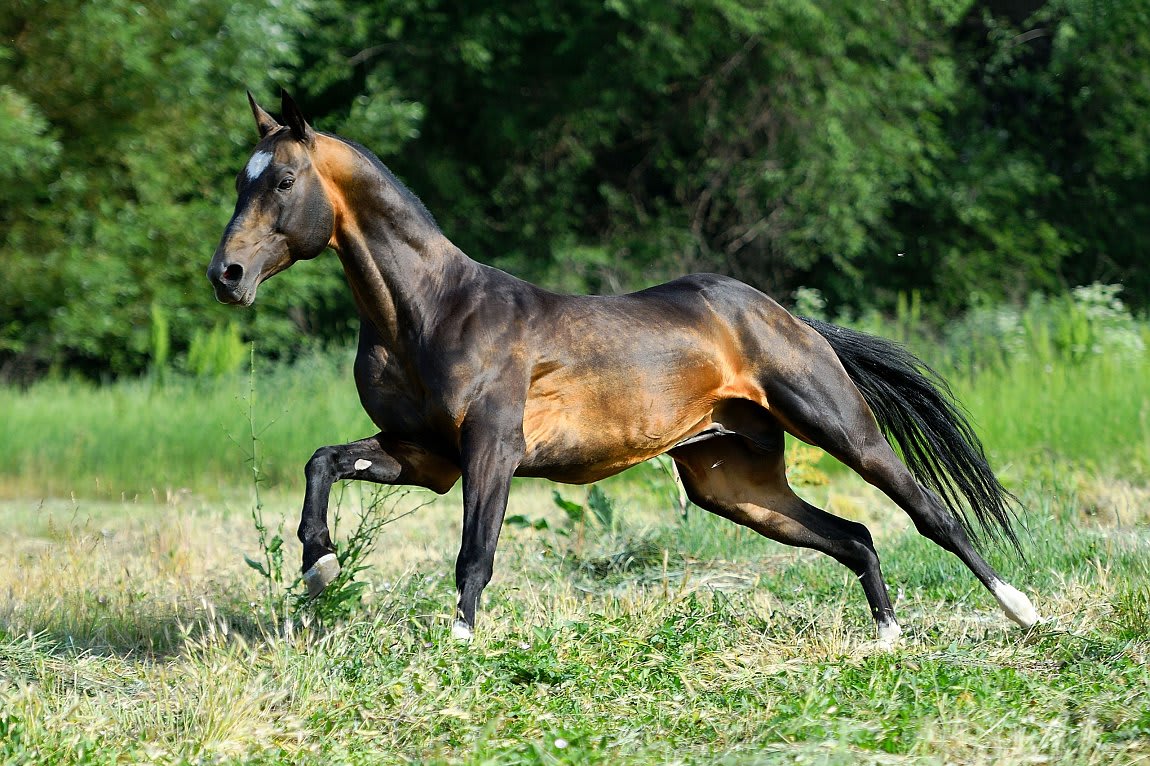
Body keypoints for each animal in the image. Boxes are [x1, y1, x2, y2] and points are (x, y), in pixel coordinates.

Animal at [207, 91, 1039, 645]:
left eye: (282, 181)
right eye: (239, 180)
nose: (227, 275)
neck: (430, 312)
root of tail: (789, 319)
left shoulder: (491, 450)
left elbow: (474, 557)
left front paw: (459, 649)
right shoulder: (426, 456)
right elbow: (321, 461)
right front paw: (318, 564)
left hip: (841, 430)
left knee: (929, 514)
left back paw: (1023, 611)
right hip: (734, 484)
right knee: (855, 535)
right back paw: (887, 639)